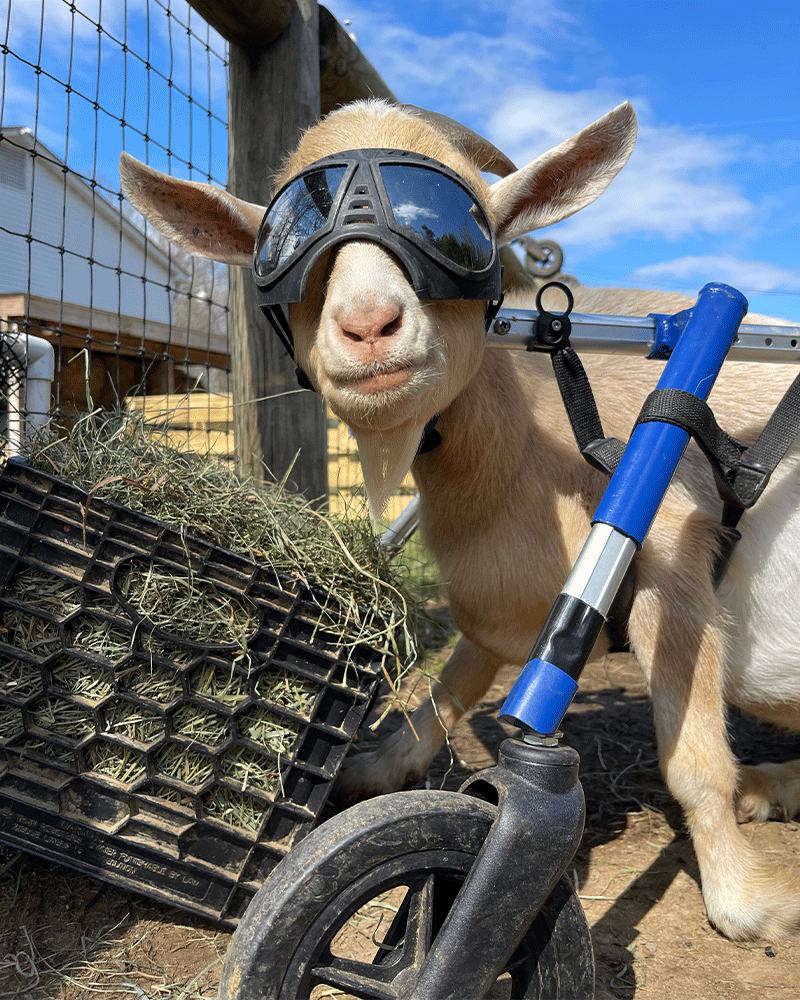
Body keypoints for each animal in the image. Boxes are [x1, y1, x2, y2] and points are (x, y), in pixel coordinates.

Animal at [119, 97, 800, 940]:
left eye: (464, 224)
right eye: (282, 241)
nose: (368, 324)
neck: (532, 448)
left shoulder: (671, 556)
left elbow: (695, 758)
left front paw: (747, 901)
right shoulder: (501, 604)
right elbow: (451, 685)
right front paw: (378, 767)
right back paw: (771, 786)